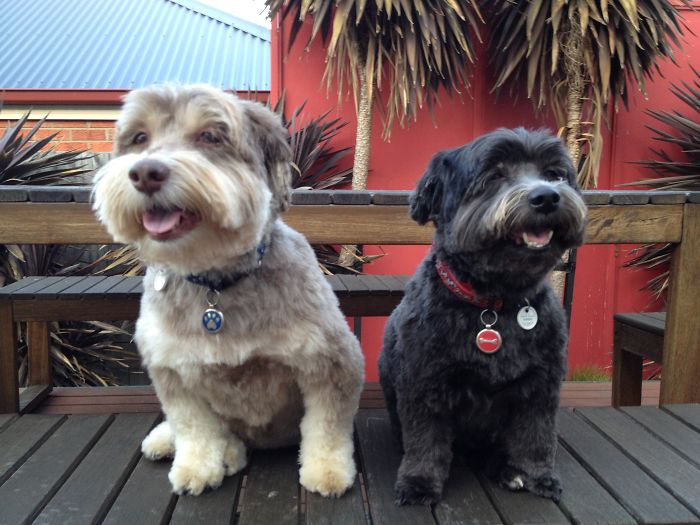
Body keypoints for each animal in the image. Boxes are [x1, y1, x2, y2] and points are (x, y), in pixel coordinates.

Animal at [92, 85, 364, 496]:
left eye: (210, 136)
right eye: (140, 138)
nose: (145, 172)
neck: (216, 285)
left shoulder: (329, 363)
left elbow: (326, 427)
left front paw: (327, 471)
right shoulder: (172, 371)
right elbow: (194, 428)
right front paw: (196, 468)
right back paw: (175, 442)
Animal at [378, 126, 584, 504]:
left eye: (554, 174)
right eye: (495, 175)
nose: (547, 197)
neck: (494, 304)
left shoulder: (541, 384)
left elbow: (535, 435)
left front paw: (536, 476)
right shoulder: (423, 382)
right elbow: (425, 439)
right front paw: (419, 482)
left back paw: (507, 469)